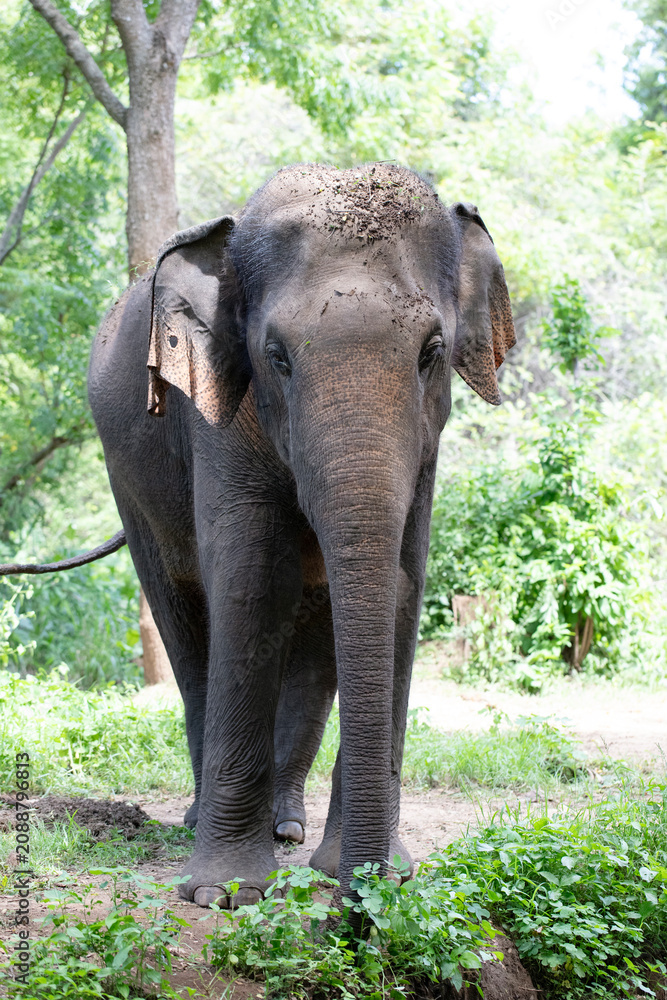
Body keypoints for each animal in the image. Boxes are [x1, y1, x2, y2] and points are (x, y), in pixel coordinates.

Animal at [88, 163, 515, 909]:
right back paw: (204, 820)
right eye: (276, 357)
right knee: (182, 618)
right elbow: (253, 580)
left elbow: (402, 583)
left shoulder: (426, 449)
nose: (358, 905)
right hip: (128, 479)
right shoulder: (221, 414)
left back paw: (286, 826)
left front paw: (380, 871)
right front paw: (226, 893)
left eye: (432, 351)